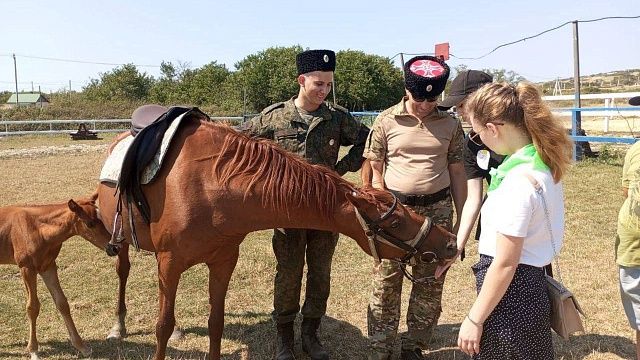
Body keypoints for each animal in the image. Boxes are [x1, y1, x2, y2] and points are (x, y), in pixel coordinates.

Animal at [0, 195, 117, 360]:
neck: (38, 230)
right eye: (90, 223)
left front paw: (82, 347)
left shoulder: (48, 266)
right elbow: (32, 307)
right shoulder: (27, 268)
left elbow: (62, 303)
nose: (114, 248)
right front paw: (33, 350)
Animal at [94, 111, 456, 358]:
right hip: (122, 241)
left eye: (407, 210)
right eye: (395, 224)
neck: (209, 184)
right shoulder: (170, 263)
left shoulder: (223, 261)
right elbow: (161, 326)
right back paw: (118, 326)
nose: (450, 243)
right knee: (123, 272)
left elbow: (214, 322)